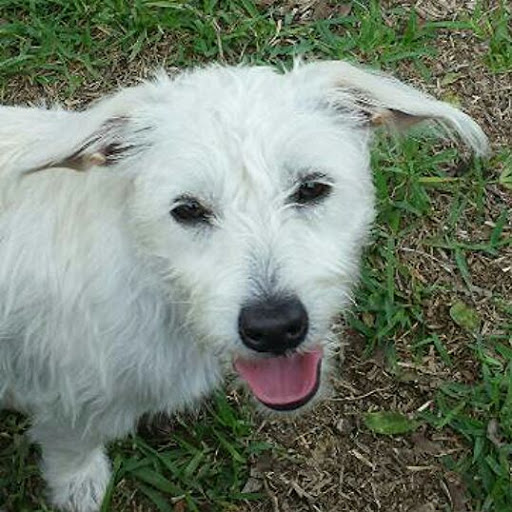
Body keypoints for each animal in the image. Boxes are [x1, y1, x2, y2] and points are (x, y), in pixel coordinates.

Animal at [0, 60, 487, 511]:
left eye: (312, 188)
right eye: (187, 209)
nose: (274, 328)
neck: (149, 279)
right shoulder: (70, 407)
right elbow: (71, 450)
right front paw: (78, 486)